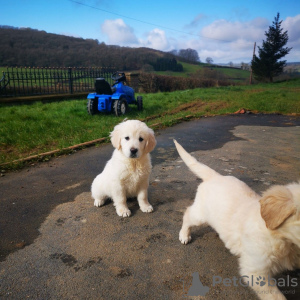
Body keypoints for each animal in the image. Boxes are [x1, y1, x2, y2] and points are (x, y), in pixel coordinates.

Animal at [173, 141, 300, 300]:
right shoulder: (255, 270)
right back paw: (184, 235)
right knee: (188, 214)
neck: (279, 237)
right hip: (201, 214)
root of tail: (215, 177)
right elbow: (275, 296)